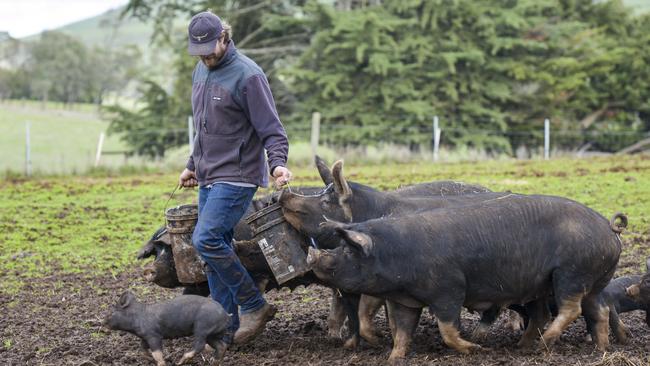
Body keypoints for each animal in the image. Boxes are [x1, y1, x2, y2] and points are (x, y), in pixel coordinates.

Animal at [306, 196, 624, 362]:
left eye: (349, 250)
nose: (313, 254)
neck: (398, 254)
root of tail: (609, 228)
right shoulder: (406, 300)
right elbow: (403, 331)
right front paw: (393, 358)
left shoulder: (449, 289)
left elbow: (447, 330)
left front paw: (476, 348)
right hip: (589, 280)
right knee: (594, 310)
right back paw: (594, 348)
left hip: (572, 273)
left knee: (571, 308)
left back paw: (544, 343)